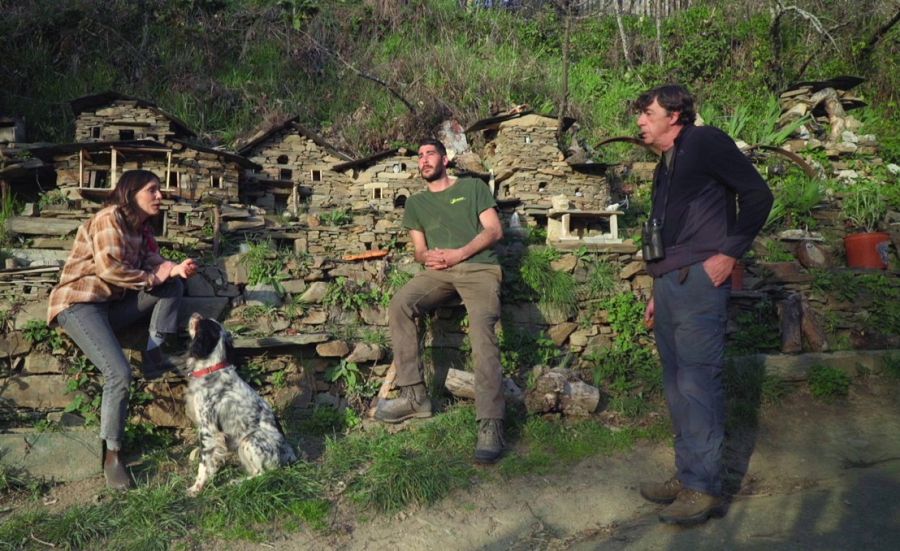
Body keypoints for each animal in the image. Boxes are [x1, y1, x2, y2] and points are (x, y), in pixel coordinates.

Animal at [185, 312, 298, 498]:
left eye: (201, 322)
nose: (195, 314)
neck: (211, 368)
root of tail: (290, 455)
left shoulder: (207, 429)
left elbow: (203, 463)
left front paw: (196, 487)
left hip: (248, 440)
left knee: (264, 473)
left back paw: (236, 483)